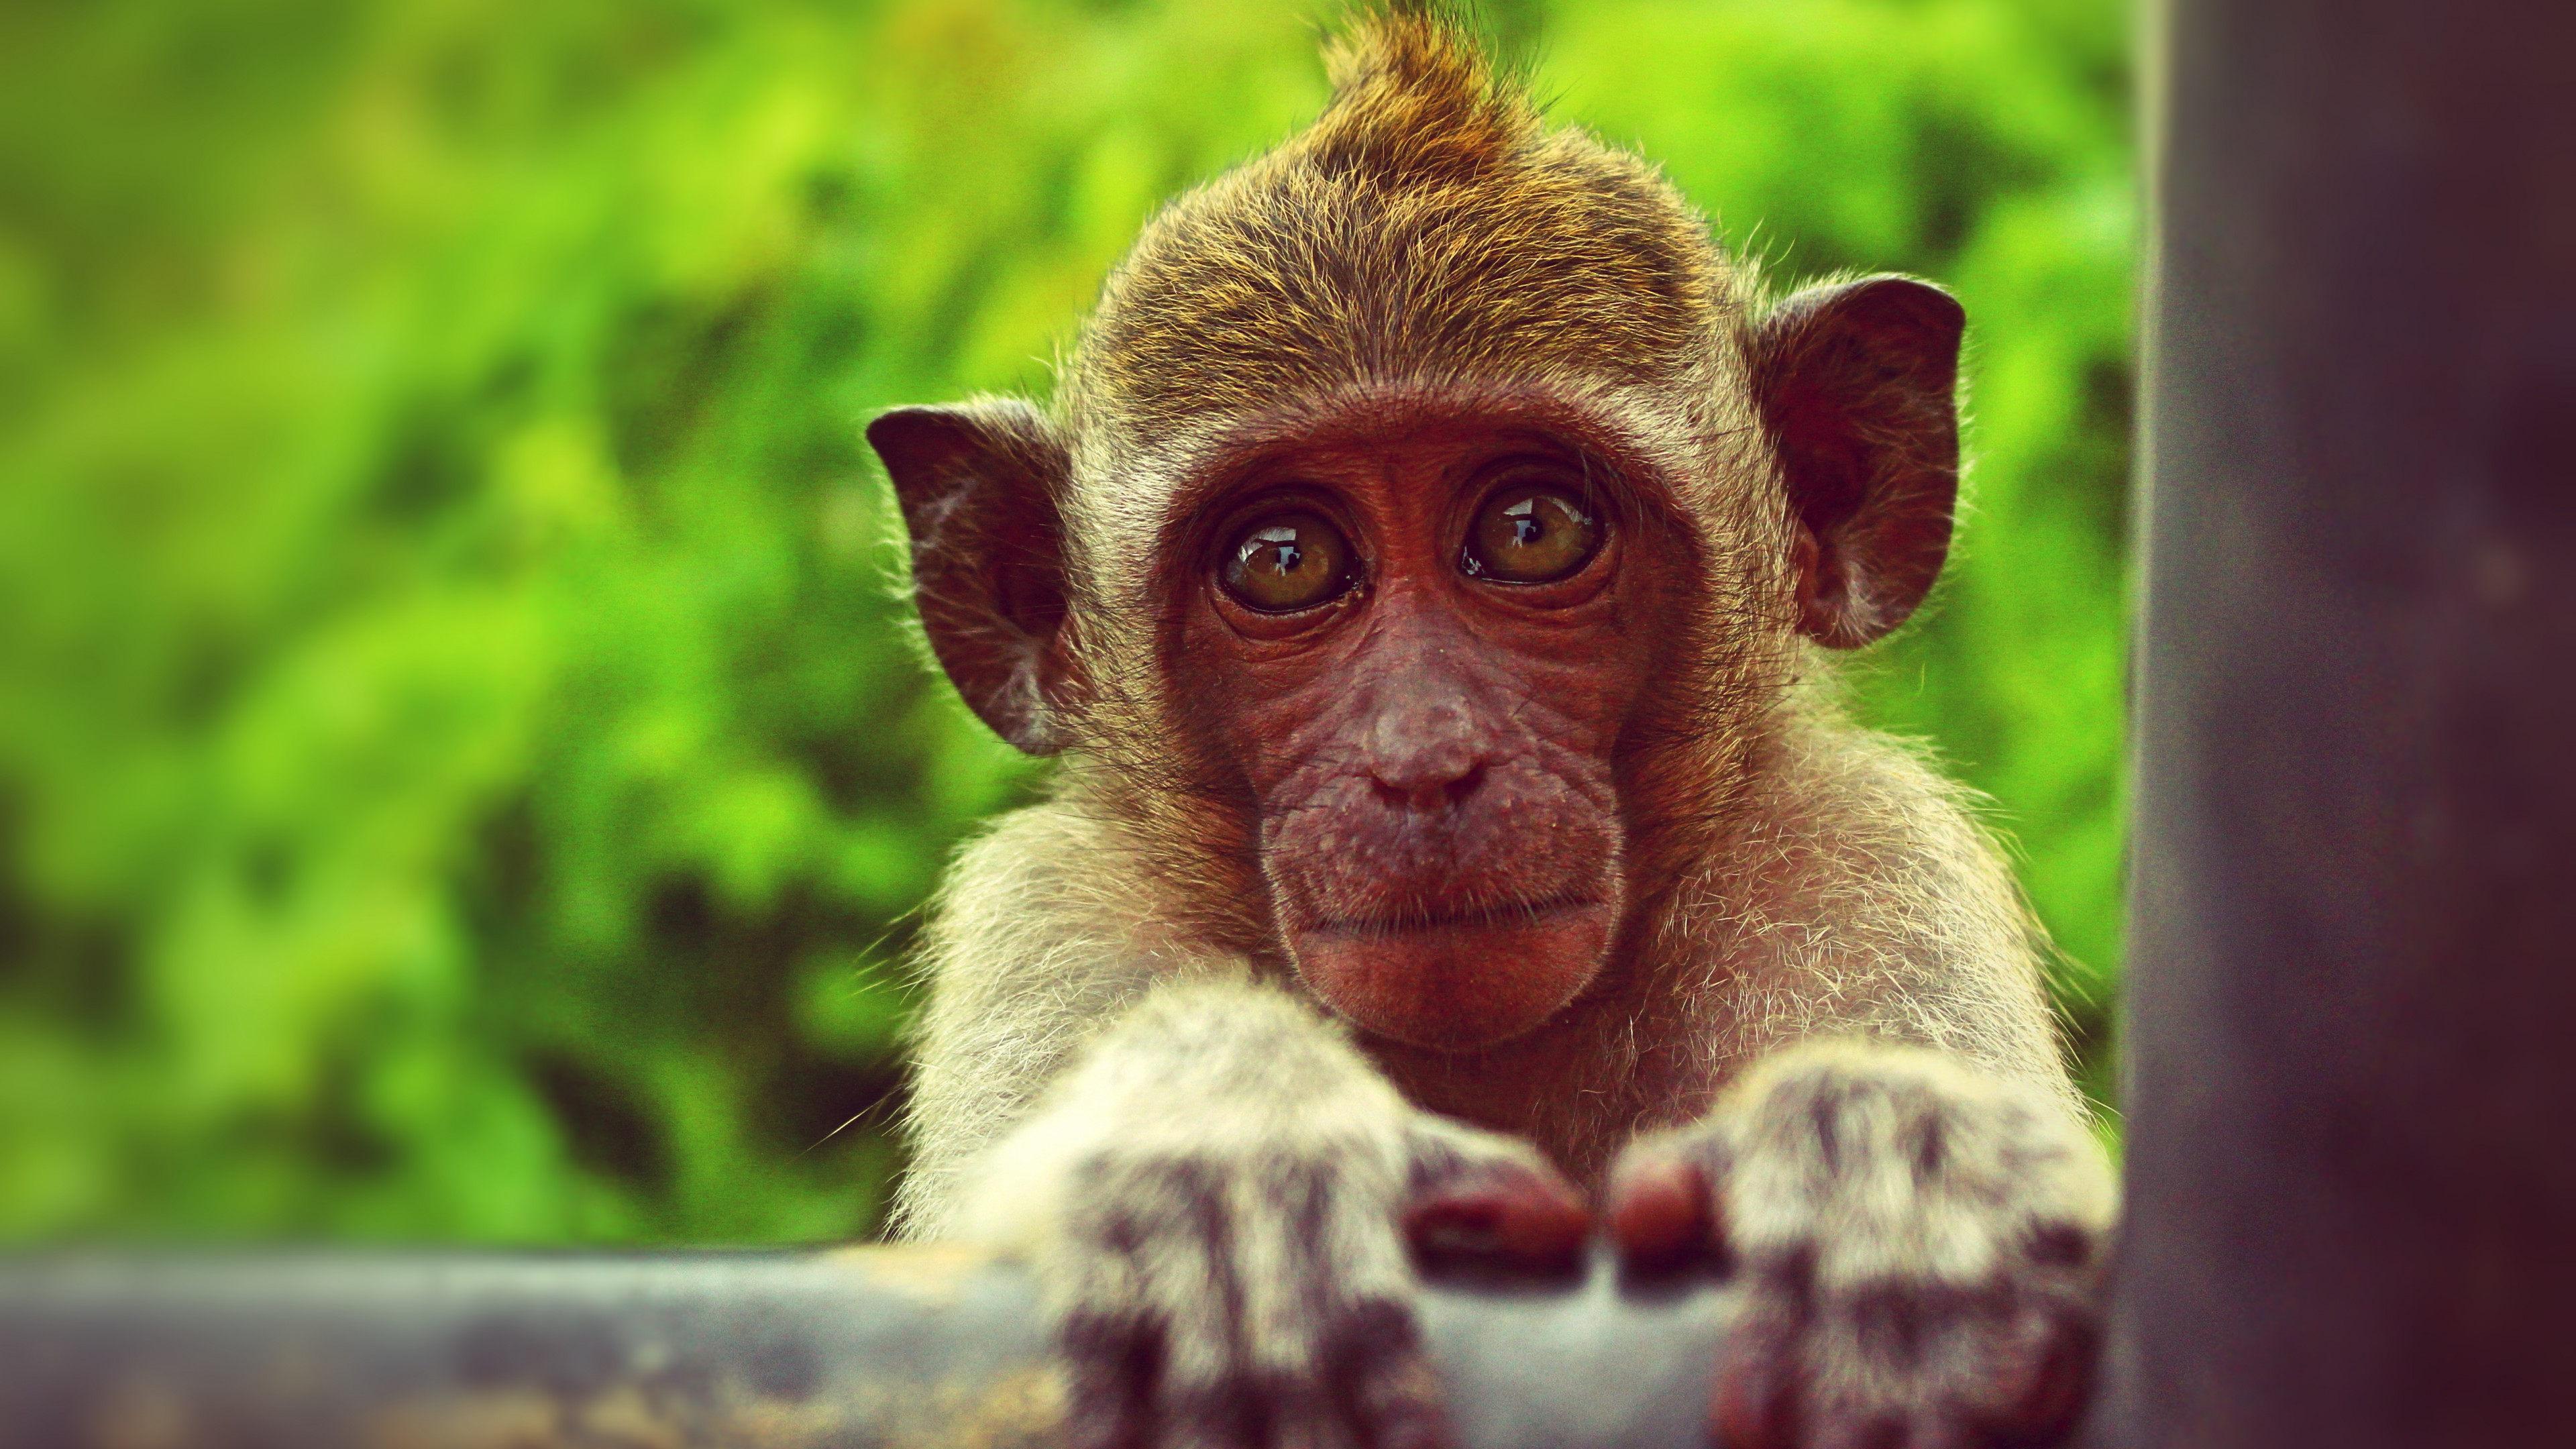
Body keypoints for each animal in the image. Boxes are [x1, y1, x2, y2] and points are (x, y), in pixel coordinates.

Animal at [864, 9, 2115, 1449]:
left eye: (1532, 530)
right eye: (1284, 560)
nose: (1423, 761)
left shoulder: (1865, 860)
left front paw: (1887, 1148)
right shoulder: (1053, 913)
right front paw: (1228, 1144)